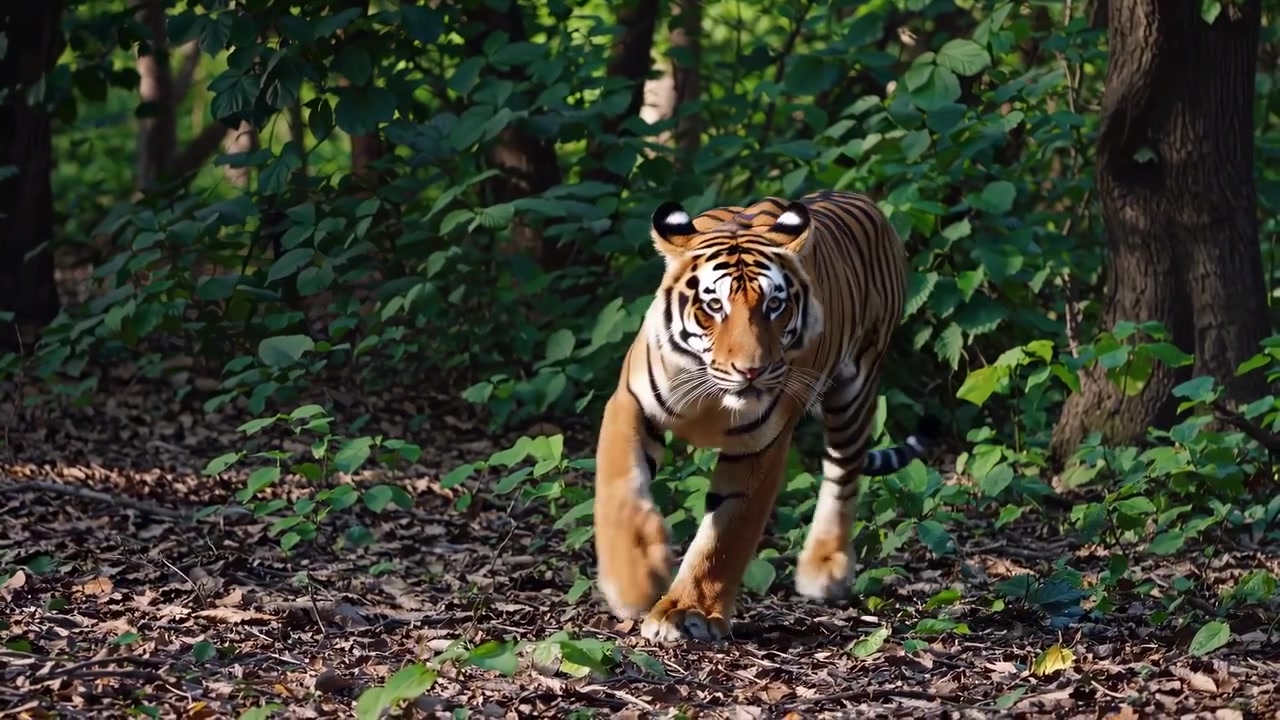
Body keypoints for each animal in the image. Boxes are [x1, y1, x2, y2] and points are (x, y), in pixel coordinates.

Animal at [591, 189, 937, 642]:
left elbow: (726, 535)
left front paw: (688, 612)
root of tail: (859, 198)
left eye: (775, 306)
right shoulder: (629, 405)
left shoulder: (761, 443)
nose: (751, 370)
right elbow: (620, 491)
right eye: (713, 305)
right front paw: (635, 582)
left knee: (843, 476)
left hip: (856, 389)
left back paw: (824, 569)